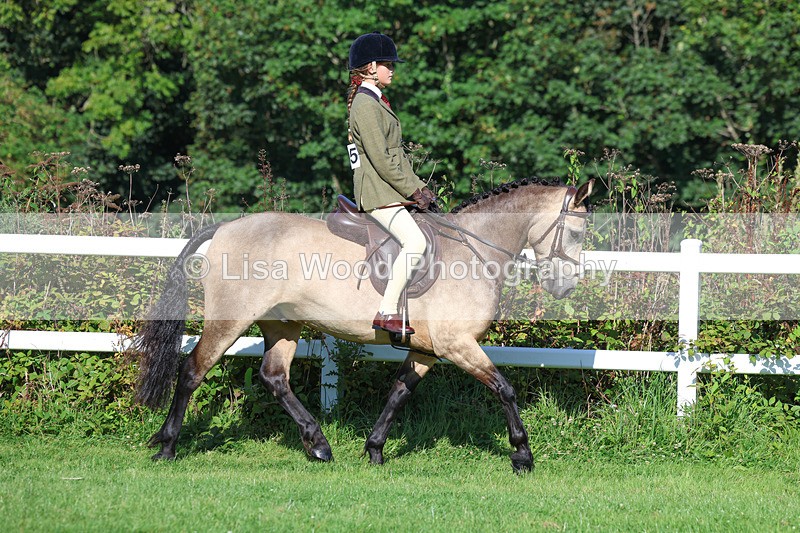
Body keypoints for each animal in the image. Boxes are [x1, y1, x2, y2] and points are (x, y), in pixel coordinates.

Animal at [134, 177, 594, 473]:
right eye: (576, 233)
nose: (566, 287)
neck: (473, 251)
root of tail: (226, 227)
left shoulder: (427, 349)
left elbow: (399, 394)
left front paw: (374, 450)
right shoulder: (457, 344)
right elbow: (504, 389)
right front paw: (522, 455)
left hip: (283, 324)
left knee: (274, 377)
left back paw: (318, 445)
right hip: (230, 319)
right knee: (192, 371)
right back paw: (167, 446)